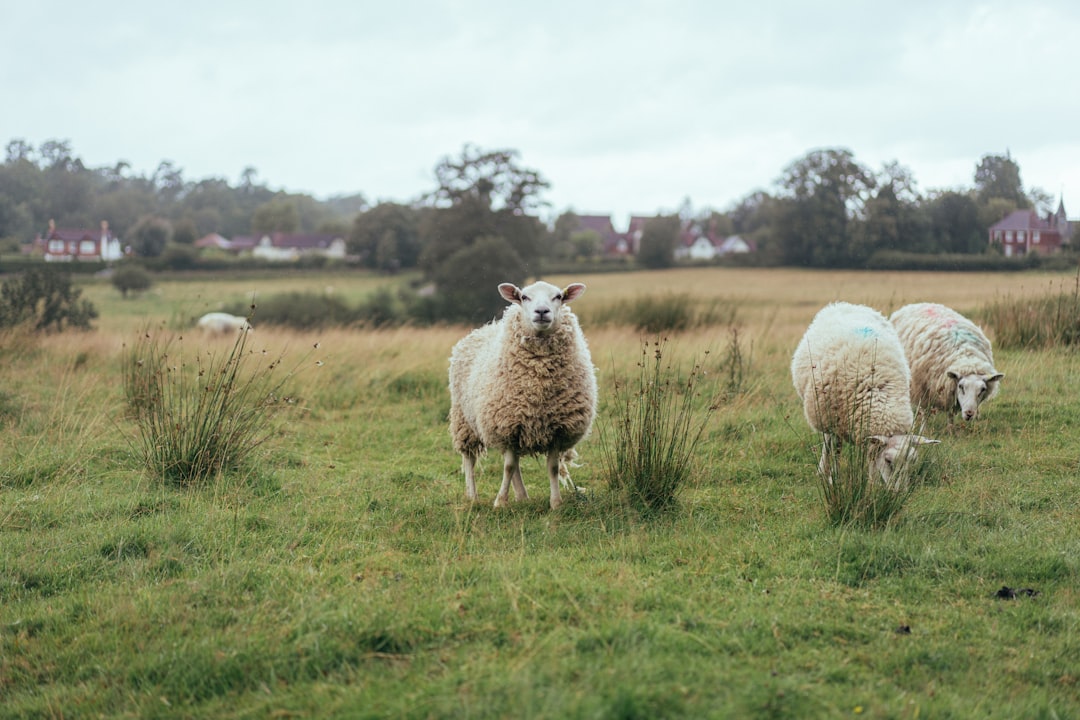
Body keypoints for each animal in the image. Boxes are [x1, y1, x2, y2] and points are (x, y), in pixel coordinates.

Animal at [447, 278, 600, 509]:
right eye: (524, 297)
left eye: (558, 296)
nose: (542, 311)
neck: (538, 379)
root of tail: (485, 327)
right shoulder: (508, 424)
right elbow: (508, 467)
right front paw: (500, 502)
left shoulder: (556, 429)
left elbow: (552, 468)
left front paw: (556, 503)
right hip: (464, 421)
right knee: (470, 460)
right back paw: (473, 496)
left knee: (515, 463)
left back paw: (522, 496)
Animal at [790, 302, 941, 487]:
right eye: (889, 461)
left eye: (912, 462)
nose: (898, 492)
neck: (877, 391)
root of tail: (846, 304)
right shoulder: (836, 420)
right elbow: (837, 449)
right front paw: (834, 478)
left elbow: (869, 457)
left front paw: (870, 480)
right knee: (828, 442)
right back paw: (822, 470)